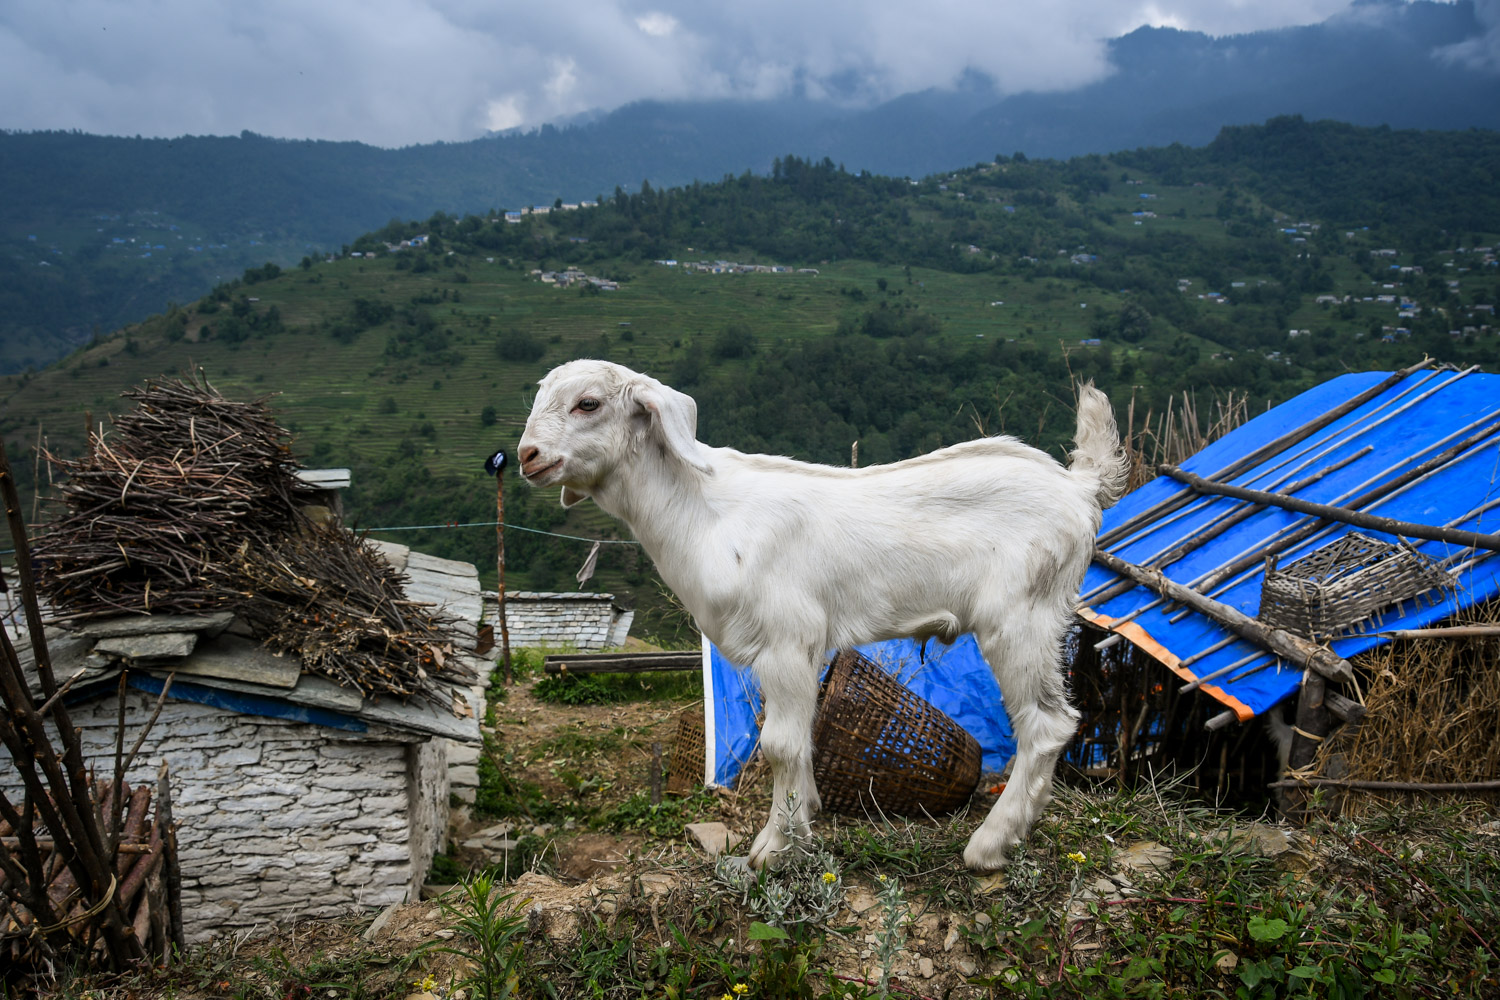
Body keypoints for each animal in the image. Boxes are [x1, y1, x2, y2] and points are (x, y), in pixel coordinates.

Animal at [519, 359, 1128, 869]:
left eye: (589, 403)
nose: (525, 456)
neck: (706, 513)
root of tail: (1078, 487)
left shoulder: (788, 639)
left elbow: (779, 745)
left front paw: (773, 849)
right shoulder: (797, 651)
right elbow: (802, 736)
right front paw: (805, 814)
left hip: (1021, 618)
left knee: (1048, 724)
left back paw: (989, 846)